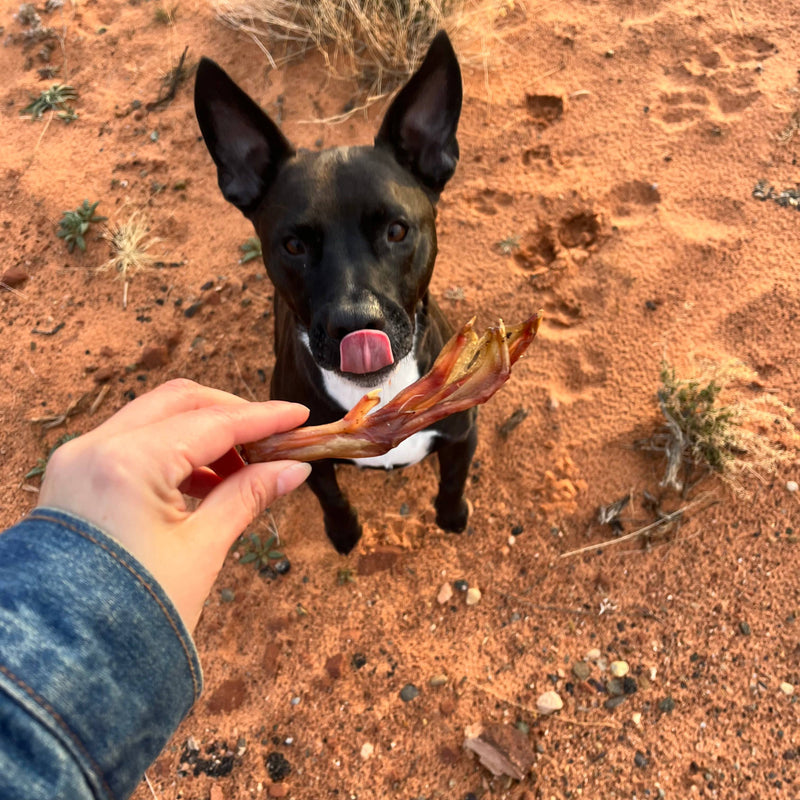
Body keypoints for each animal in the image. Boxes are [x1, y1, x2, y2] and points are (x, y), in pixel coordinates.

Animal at [195, 32, 478, 556]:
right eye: (294, 245)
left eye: (396, 230)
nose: (356, 324)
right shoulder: (310, 459)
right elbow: (332, 498)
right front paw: (344, 533)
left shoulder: (461, 434)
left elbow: (452, 481)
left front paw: (452, 517)